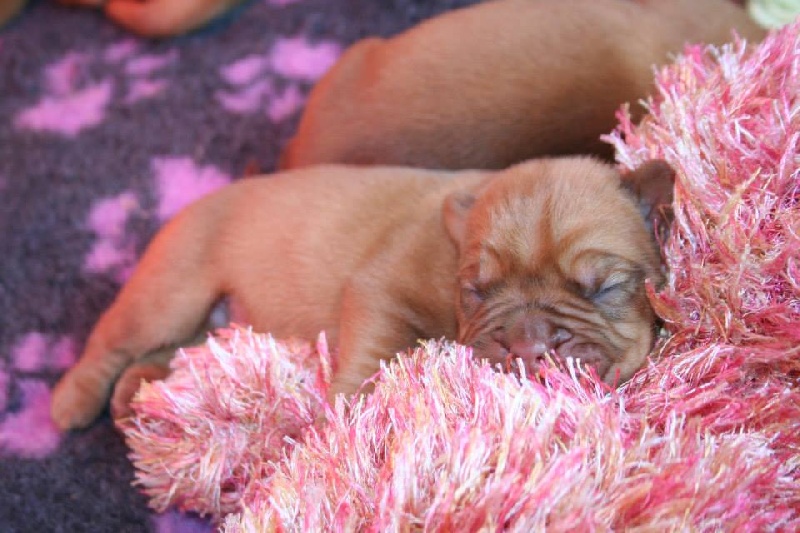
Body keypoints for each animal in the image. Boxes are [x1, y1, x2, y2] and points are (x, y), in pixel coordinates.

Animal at [50, 157, 672, 428]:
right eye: (477, 290)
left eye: (604, 288)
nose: (525, 345)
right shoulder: (379, 292)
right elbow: (373, 357)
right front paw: (349, 414)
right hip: (169, 294)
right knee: (108, 343)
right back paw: (74, 401)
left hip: (206, 322)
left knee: (172, 351)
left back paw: (135, 392)